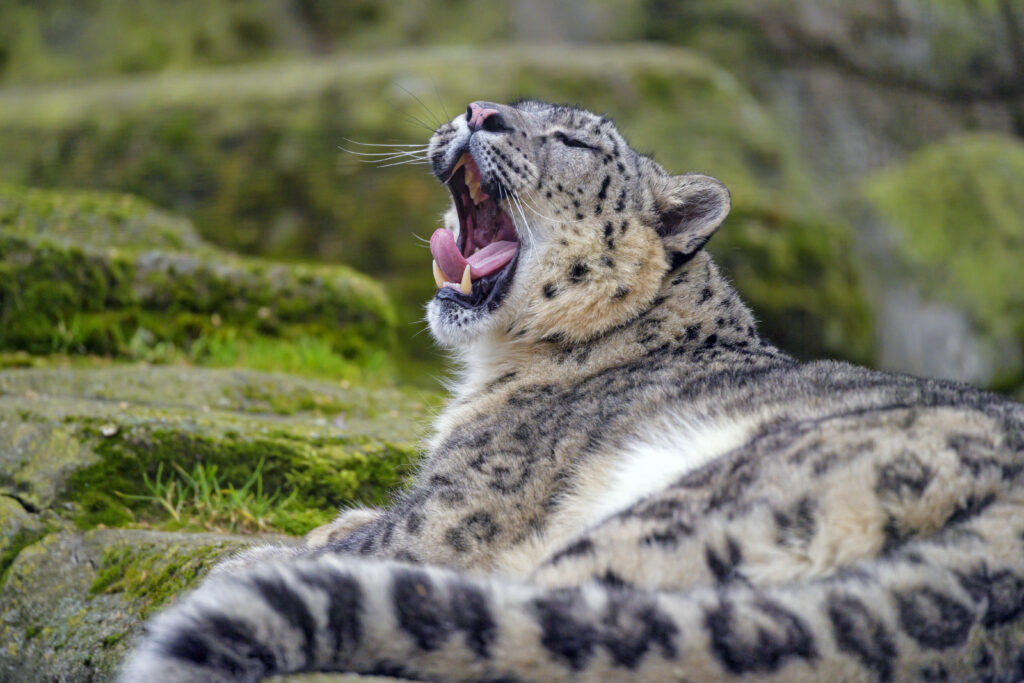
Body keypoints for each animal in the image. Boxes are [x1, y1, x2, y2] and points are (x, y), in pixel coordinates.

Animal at [120, 100, 1024, 682]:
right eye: (493, 106)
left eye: (570, 141)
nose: (478, 112)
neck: (494, 366)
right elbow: (356, 522)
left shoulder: (457, 506)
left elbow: (386, 536)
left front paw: (258, 554)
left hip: (710, 501)